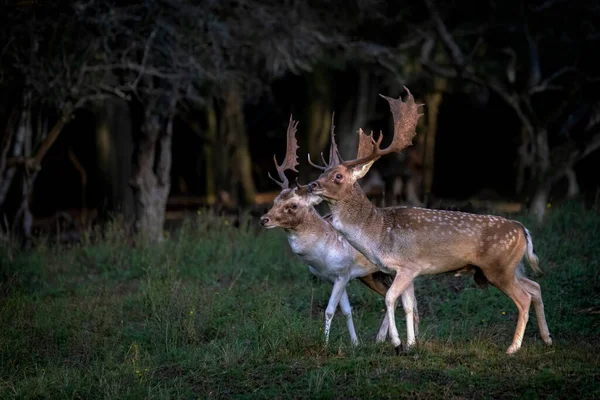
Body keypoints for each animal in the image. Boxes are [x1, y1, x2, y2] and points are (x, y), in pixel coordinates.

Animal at [260, 114, 420, 346]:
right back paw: (382, 339)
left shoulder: (342, 274)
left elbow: (329, 310)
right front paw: (355, 343)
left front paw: (324, 343)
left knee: (406, 298)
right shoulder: (333, 277)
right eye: (274, 201)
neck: (320, 255)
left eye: (293, 205)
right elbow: (346, 310)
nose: (264, 219)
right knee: (394, 297)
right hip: (373, 274)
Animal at [310, 87, 552, 354]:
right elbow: (407, 304)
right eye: (323, 172)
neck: (378, 233)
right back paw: (547, 338)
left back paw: (513, 348)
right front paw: (411, 344)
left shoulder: (407, 265)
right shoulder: (408, 270)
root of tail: (523, 229)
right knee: (535, 287)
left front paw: (397, 343)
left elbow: (390, 299)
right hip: (509, 267)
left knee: (524, 298)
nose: (312, 185)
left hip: (498, 267)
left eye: (338, 176)